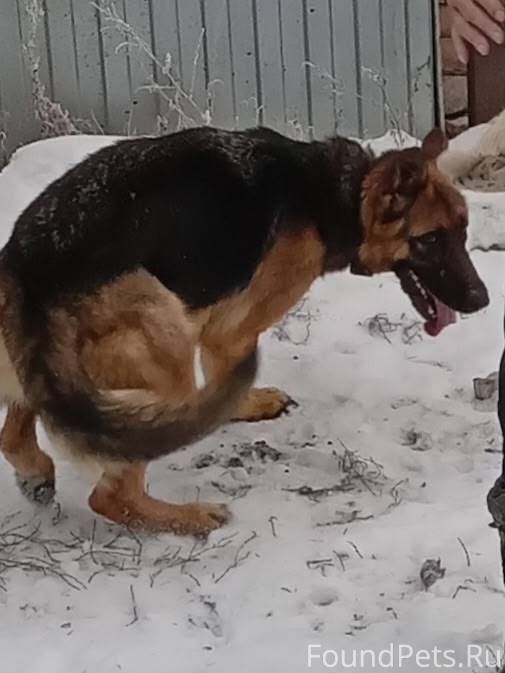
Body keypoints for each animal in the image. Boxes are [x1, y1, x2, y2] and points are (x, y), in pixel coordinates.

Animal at [0, 126, 489, 535]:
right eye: (430, 240)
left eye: (463, 231)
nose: (482, 299)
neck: (338, 194)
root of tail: (29, 277)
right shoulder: (231, 329)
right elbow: (226, 370)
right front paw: (237, 405)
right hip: (165, 337)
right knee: (110, 494)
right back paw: (188, 517)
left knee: (16, 432)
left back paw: (37, 472)